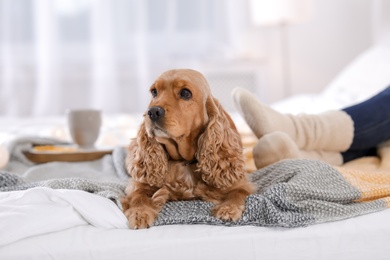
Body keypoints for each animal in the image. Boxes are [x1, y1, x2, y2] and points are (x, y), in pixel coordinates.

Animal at [122, 68, 256, 229]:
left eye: (185, 93)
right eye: (154, 92)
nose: (152, 112)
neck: (184, 161)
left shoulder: (241, 183)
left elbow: (237, 193)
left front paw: (228, 209)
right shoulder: (138, 184)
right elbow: (137, 196)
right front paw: (139, 213)